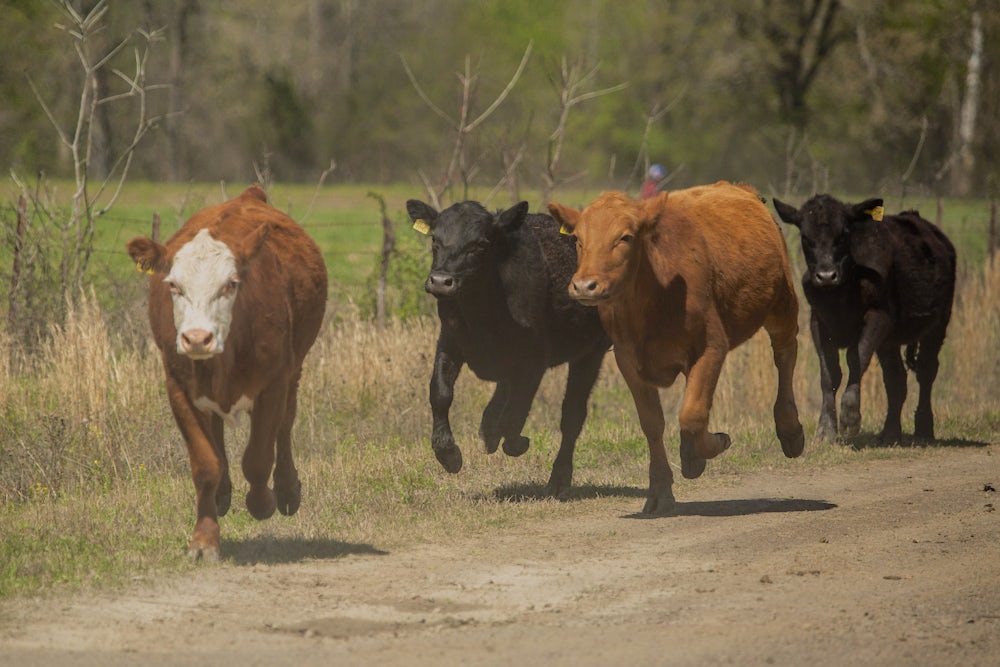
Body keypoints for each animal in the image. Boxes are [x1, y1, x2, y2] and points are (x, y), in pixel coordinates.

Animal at [406, 198, 608, 496]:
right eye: (435, 239)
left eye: (480, 244)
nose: (441, 281)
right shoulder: (449, 341)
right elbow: (440, 393)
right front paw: (448, 454)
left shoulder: (534, 360)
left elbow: (517, 410)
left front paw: (516, 441)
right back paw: (489, 428)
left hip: (592, 351)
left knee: (572, 413)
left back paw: (559, 478)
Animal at [552, 183, 808, 516]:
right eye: (578, 240)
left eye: (625, 237)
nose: (585, 285)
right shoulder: (628, 360)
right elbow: (653, 423)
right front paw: (661, 491)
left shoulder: (711, 347)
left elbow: (692, 415)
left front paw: (709, 448)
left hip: (782, 304)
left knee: (785, 353)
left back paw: (791, 431)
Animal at [772, 193, 952, 444]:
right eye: (806, 238)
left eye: (843, 234)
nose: (826, 276)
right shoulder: (818, 322)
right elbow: (829, 373)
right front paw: (826, 429)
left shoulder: (878, 316)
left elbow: (856, 358)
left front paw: (850, 417)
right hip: (890, 342)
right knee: (896, 379)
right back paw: (890, 433)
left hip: (938, 323)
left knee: (926, 371)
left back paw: (924, 430)